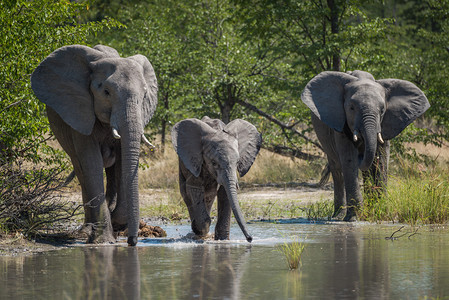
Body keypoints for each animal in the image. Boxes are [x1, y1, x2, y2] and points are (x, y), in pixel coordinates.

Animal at [31, 45, 158, 246]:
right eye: (106, 92)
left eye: (145, 95)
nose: (132, 241)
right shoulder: (79, 110)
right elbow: (91, 163)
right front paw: (103, 241)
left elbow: (122, 162)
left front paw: (117, 223)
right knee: (82, 170)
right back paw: (87, 230)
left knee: (112, 171)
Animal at [300, 69, 428, 220]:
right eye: (351, 108)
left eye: (382, 110)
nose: (361, 154)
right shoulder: (340, 124)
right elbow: (349, 158)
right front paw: (353, 218)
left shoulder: (385, 124)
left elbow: (382, 160)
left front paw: (381, 213)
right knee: (337, 169)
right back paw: (338, 216)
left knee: (365, 171)